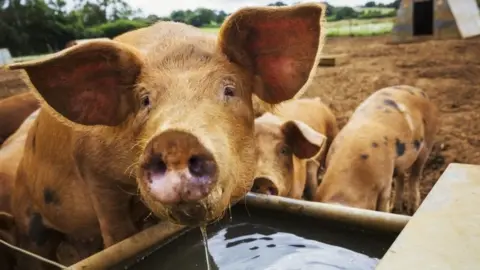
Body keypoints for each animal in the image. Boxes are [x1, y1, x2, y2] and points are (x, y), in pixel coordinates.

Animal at [4, 3, 326, 266]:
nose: (175, 139)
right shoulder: (94, 175)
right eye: (145, 100)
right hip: (28, 220)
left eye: (229, 90)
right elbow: (118, 236)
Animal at [316, 85, 438, 215]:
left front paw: (386, 212)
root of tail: (419, 91)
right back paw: (395, 209)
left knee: (414, 177)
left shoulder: (386, 181)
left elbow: (383, 205)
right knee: (401, 176)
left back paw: (412, 210)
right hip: (400, 163)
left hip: (428, 142)